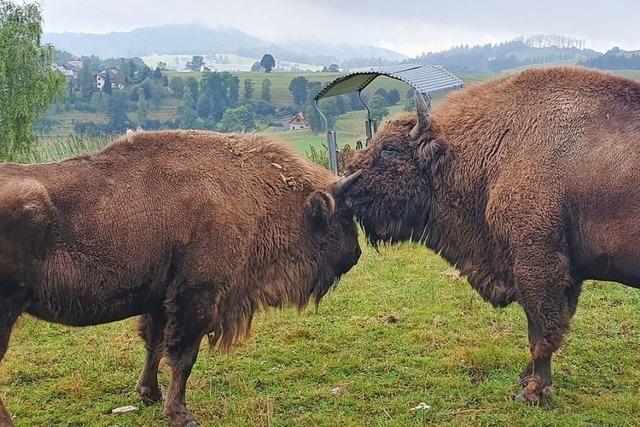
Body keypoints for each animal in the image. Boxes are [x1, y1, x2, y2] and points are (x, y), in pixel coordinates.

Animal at [0, 131, 360, 427]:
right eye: (343, 214)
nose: (355, 253)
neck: (249, 190)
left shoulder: (160, 299)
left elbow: (154, 345)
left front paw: (150, 394)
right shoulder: (197, 297)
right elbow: (183, 357)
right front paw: (181, 415)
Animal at [344, 67, 640, 404]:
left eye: (390, 149)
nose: (344, 187)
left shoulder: (537, 267)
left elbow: (542, 331)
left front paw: (533, 391)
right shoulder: (569, 274)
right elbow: (554, 325)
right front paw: (526, 379)